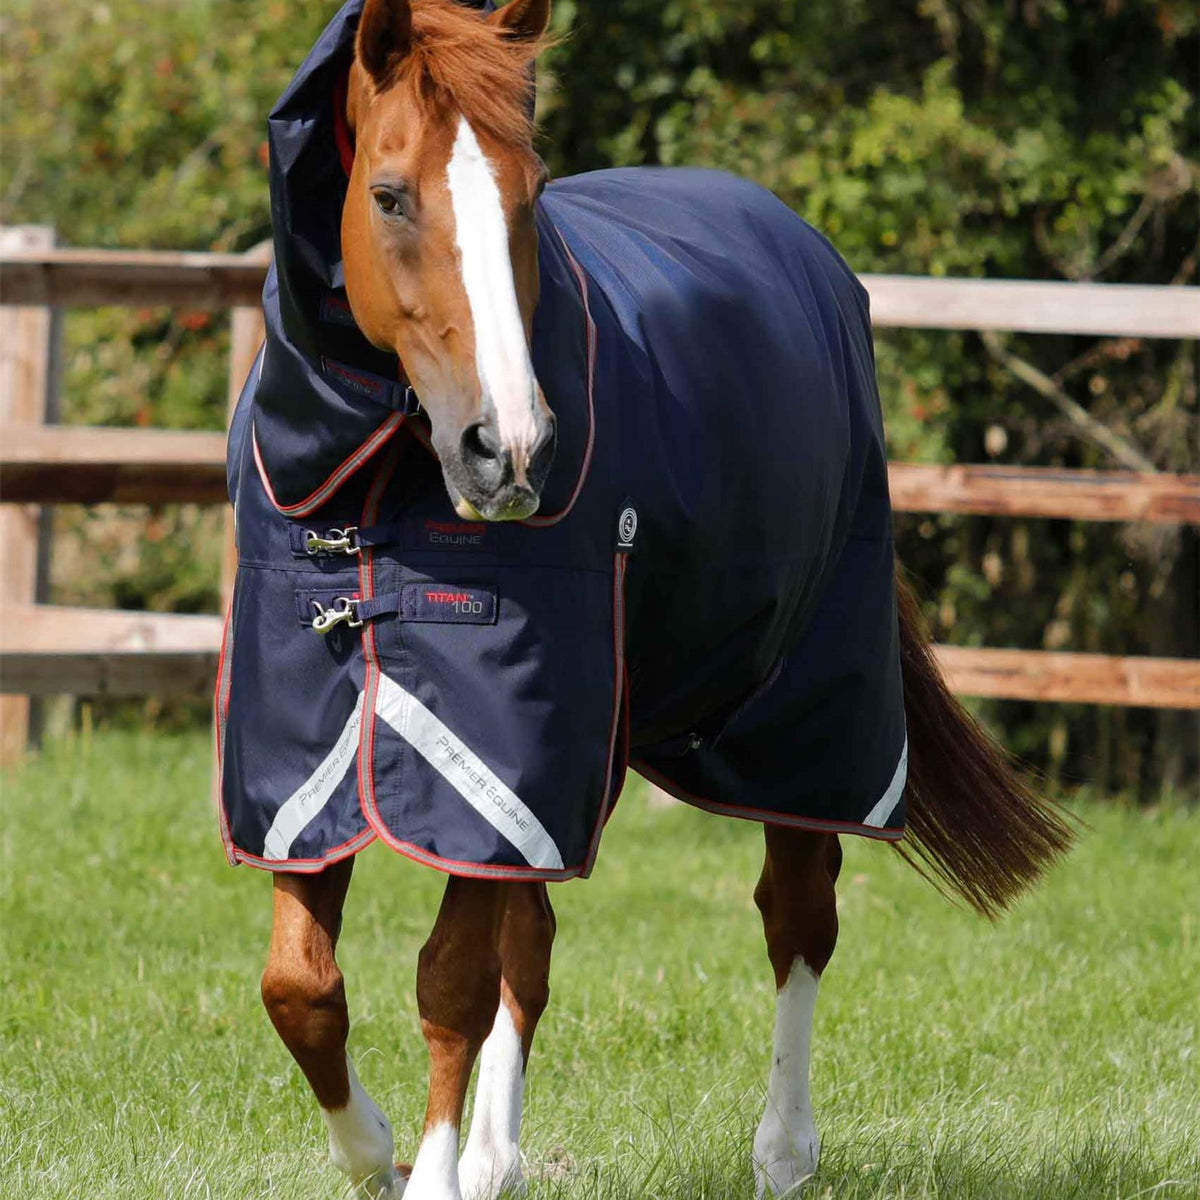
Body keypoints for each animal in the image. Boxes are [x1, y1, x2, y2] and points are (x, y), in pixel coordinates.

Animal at [219, 1, 1073, 1197]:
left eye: (530, 193)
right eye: (388, 194)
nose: (510, 447)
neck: (374, 483)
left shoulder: (494, 753)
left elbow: (447, 977)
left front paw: (424, 1173)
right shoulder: (304, 754)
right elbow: (302, 987)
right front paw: (381, 1157)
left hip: (795, 712)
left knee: (797, 914)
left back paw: (782, 1152)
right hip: (589, 747)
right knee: (533, 941)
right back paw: (499, 1157)